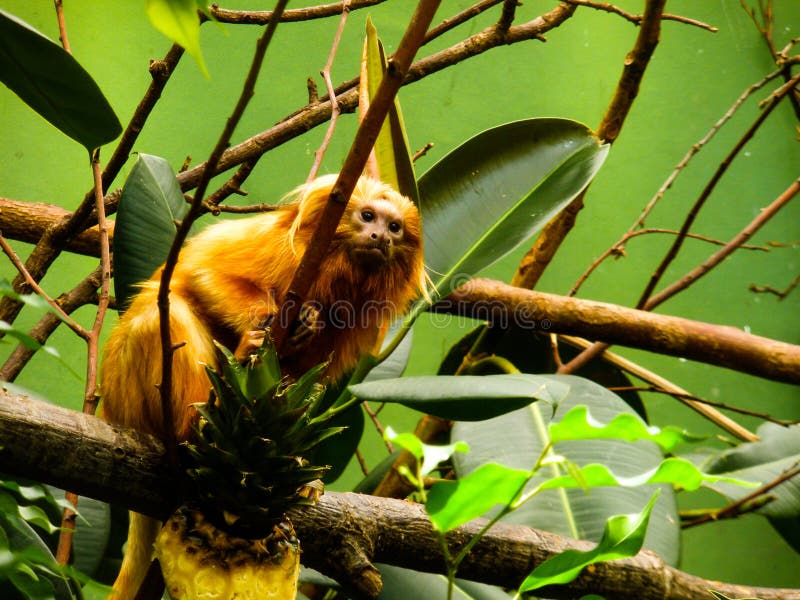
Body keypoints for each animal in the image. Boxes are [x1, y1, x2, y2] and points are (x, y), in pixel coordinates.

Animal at [100, 174, 426, 598]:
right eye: (368, 216)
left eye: (395, 227)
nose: (380, 236)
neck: (340, 268)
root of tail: (112, 406)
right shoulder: (283, 251)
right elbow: (205, 272)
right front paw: (263, 328)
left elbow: (293, 378)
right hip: (131, 390)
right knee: (165, 314)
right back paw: (198, 427)